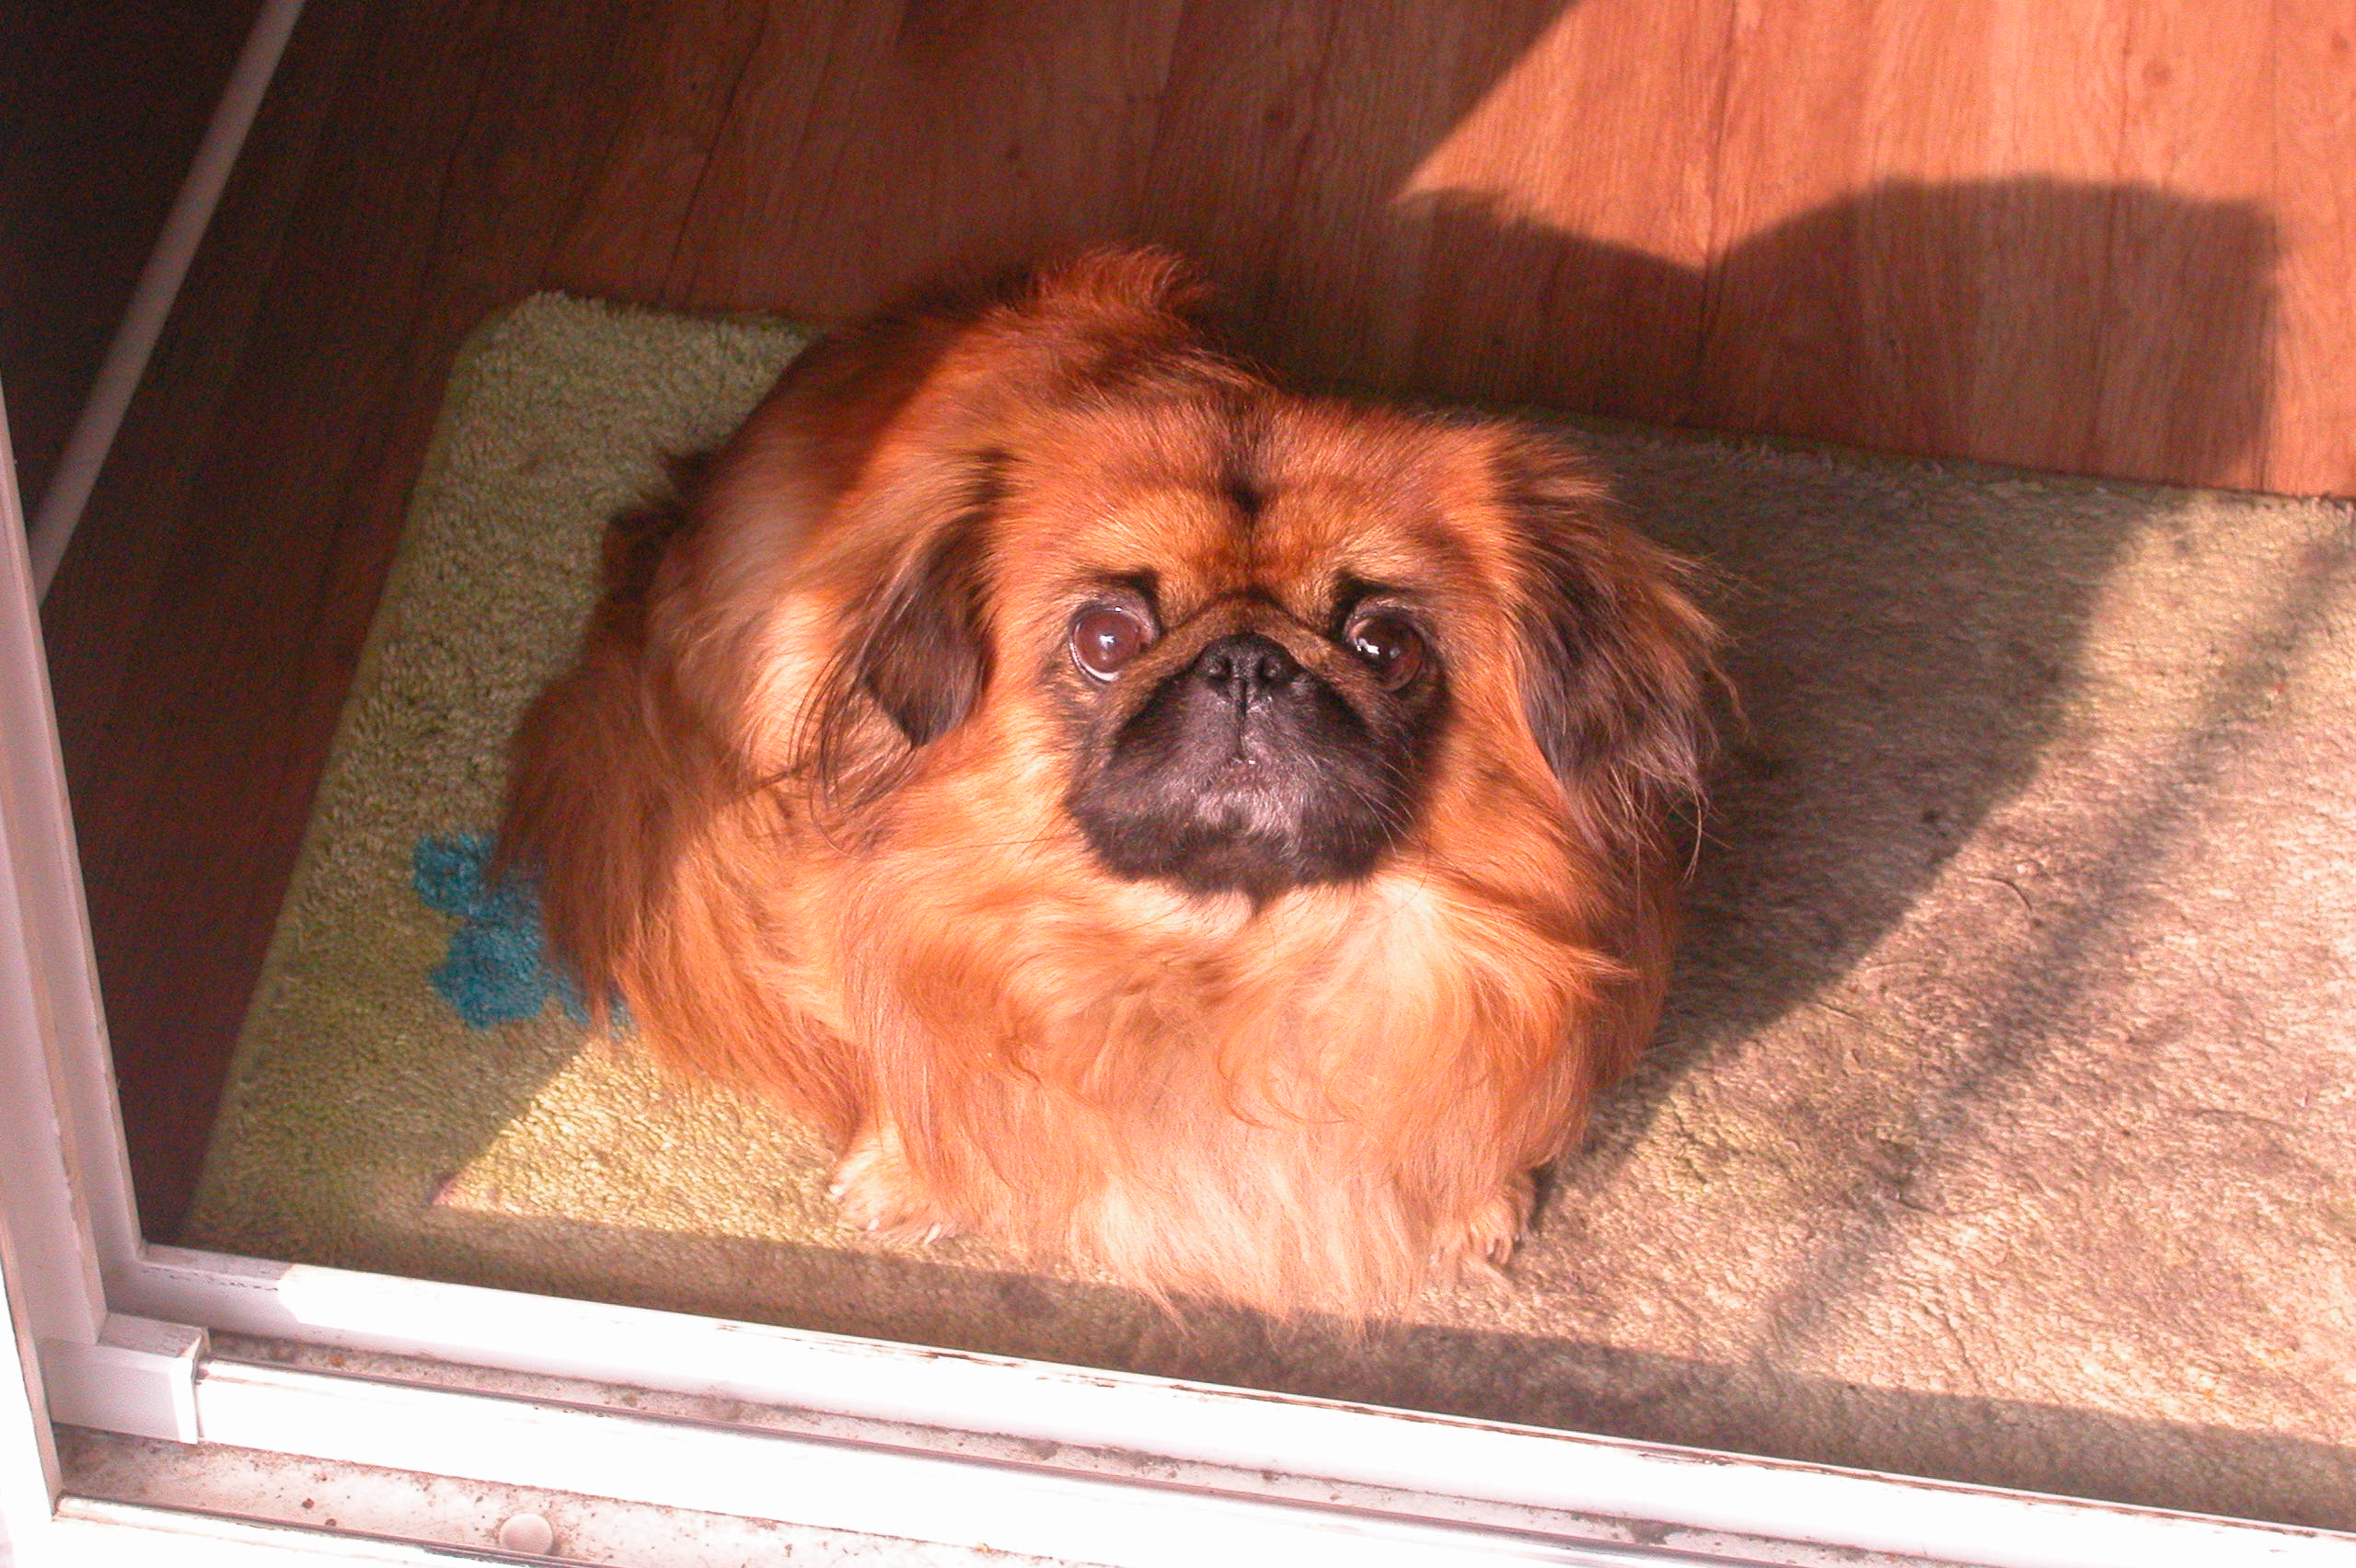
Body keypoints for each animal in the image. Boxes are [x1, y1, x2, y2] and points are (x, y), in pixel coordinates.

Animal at [500, 248, 1718, 1315]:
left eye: (1386, 645)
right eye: (1103, 636)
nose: (1247, 664)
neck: (1226, 968)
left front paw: (1475, 1203)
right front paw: (911, 1172)